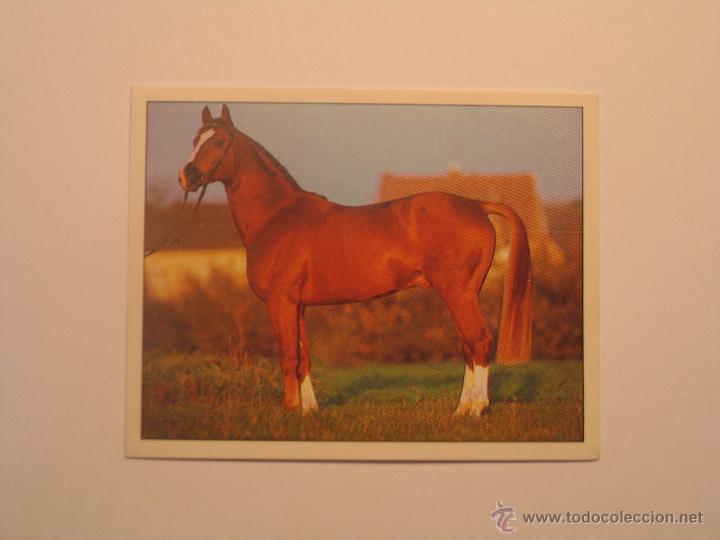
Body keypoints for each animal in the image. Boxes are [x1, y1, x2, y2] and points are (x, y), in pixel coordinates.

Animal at [178, 104, 533, 416]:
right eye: (194, 140)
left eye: (220, 142)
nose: (187, 176)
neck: (277, 217)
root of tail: (476, 205)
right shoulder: (298, 306)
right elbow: (304, 357)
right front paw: (309, 410)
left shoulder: (280, 303)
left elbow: (288, 357)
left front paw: (289, 410)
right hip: (465, 295)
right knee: (469, 346)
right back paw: (461, 408)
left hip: (457, 293)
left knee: (479, 341)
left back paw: (476, 408)